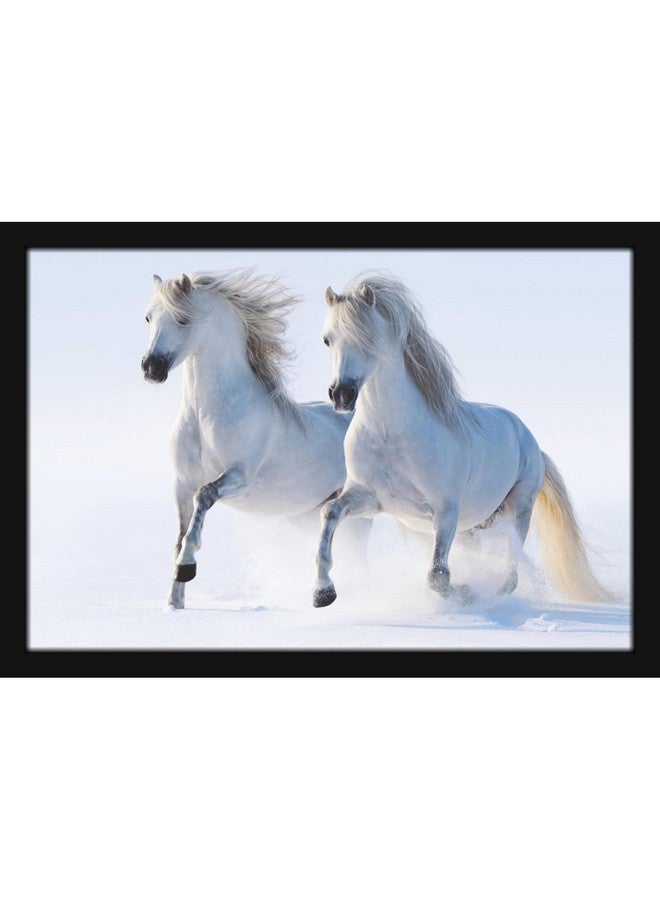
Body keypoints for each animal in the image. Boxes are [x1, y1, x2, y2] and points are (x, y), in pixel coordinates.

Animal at [141, 268, 367, 609]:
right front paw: (175, 603)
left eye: (182, 319)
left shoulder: (239, 476)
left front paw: (188, 567)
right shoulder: (181, 484)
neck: (205, 416)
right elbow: (179, 537)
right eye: (148, 318)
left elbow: (204, 498)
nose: (151, 367)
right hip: (307, 514)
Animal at [312, 270, 609, 609]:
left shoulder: (445, 511)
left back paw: (491, 595)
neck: (391, 436)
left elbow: (437, 576)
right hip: (475, 526)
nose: (342, 394)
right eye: (327, 339)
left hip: (516, 511)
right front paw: (323, 592)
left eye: (369, 338)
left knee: (511, 572)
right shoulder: (369, 499)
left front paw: (465, 594)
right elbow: (329, 512)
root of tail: (531, 442)